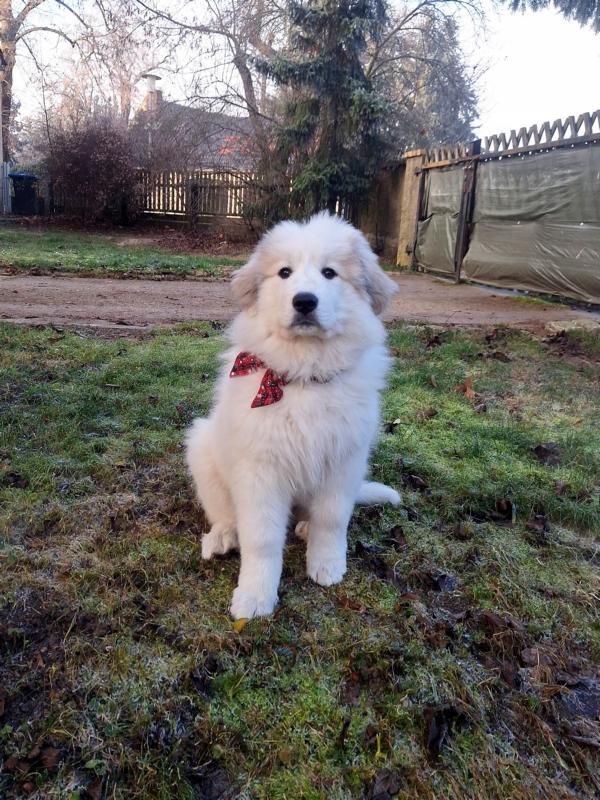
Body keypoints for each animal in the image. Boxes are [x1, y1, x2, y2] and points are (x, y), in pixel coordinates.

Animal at [186, 212, 400, 619]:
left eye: (330, 273)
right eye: (284, 273)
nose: (304, 301)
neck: (303, 375)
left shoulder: (343, 462)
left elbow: (332, 519)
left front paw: (327, 564)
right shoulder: (259, 473)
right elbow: (262, 539)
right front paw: (255, 596)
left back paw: (304, 527)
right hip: (202, 447)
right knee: (224, 512)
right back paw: (222, 536)